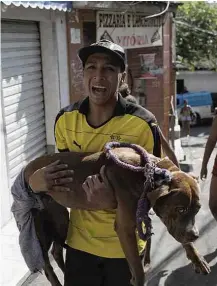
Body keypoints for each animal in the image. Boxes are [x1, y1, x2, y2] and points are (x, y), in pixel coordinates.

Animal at [23, 142, 210, 284]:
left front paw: (196, 257)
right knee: (45, 262)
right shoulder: (125, 227)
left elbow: (181, 237)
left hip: (60, 218)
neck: (148, 172)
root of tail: (27, 168)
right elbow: (138, 269)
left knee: (56, 250)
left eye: (197, 209)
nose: (195, 235)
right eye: (180, 209)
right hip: (40, 223)